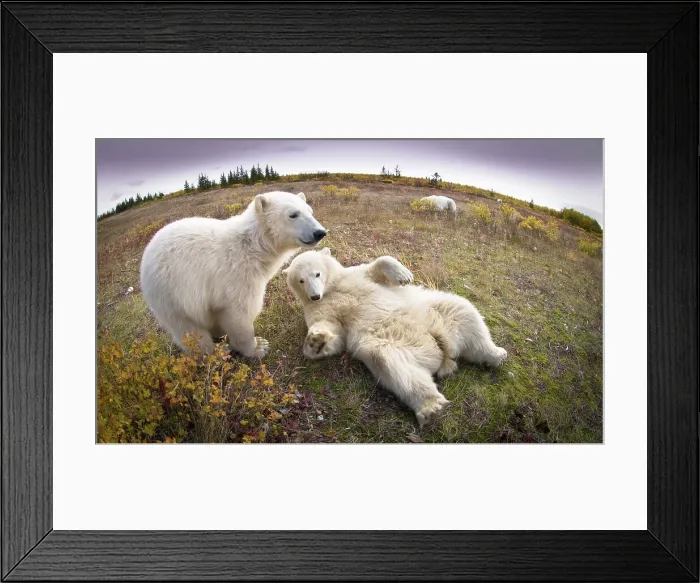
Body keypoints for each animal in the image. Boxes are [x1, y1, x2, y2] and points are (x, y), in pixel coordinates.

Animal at [140, 191, 326, 358]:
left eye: (310, 211)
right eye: (293, 214)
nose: (320, 232)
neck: (253, 246)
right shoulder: (237, 275)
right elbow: (240, 314)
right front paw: (258, 347)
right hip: (173, 295)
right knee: (190, 330)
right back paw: (214, 352)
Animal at [284, 248, 507, 427]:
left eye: (317, 273)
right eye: (301, 280)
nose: (314, 295)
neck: (332, 289)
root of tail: (443, 352)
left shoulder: (356, 276)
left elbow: (376, 266)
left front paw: (404, 275)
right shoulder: (320, 309)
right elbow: (332, 331)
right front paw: (315, 342)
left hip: (436, 311)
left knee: (463, 311)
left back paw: (496, 354)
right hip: (391, 343)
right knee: (395, 365)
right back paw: (431, 407)